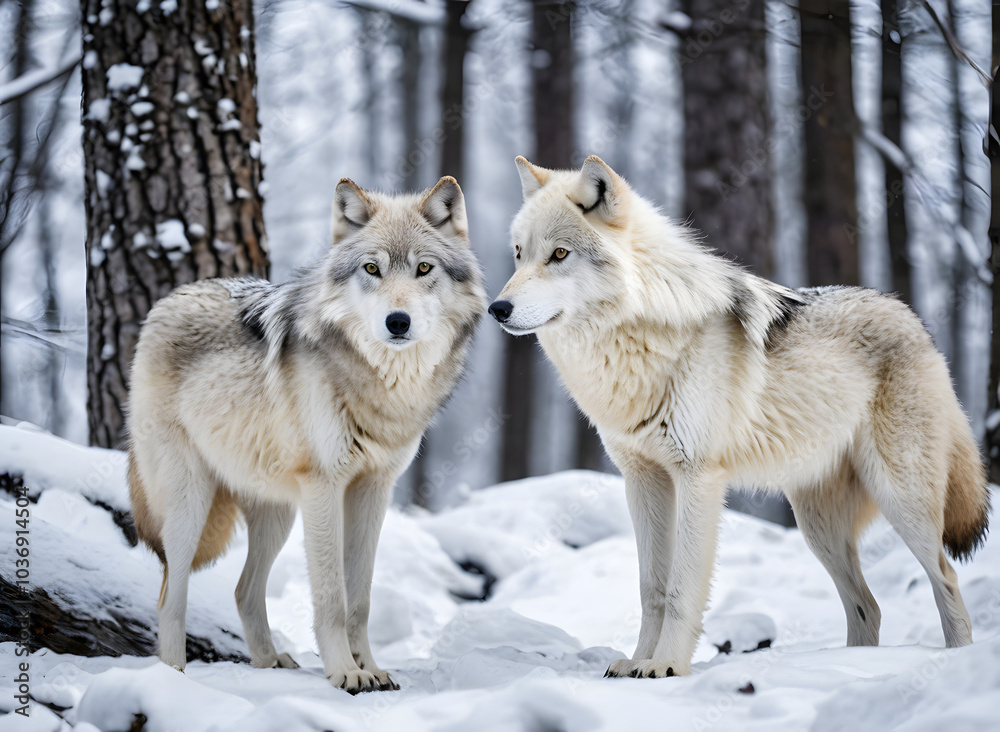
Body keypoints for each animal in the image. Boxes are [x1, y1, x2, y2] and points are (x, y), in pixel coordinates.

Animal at [128, 176, 485, 693]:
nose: (397, 322)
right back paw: (172, 675)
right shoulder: (324, 487)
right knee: (169, 593)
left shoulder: (374, 489)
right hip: (189, 502)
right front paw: (345, 673)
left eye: (424, 268)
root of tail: (165, 301)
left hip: (276, 513)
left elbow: (360, 598)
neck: (384, 386)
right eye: (372, 268)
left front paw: (371, 667)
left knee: (243, 591)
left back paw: (269, 663)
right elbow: (332, 597)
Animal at [489, 155, 990, 678]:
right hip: (818, 527)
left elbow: (681, 587)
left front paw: (666, 667)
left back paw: (953, 660)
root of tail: (915, 321)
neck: (639, 338)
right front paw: (636, 662)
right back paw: (851, 667)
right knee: (868, 607)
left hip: (902, 501)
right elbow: (651, 588)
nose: (496, 308)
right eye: (519, 254)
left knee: (946, 578)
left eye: (560, 254)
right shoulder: (642, 480)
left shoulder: (698, 477)